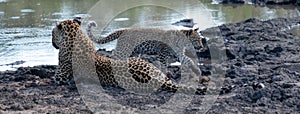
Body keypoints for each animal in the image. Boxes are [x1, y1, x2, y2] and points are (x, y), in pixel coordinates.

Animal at [52, 18, 206, 95]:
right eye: (197, 39)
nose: (201, 46)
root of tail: (123, 30)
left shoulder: (178, 54)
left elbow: (188, 60)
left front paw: (196, 70)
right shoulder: (163, 53)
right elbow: (167, 64)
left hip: (133, 54)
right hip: (125, 50)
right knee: (113, 56)